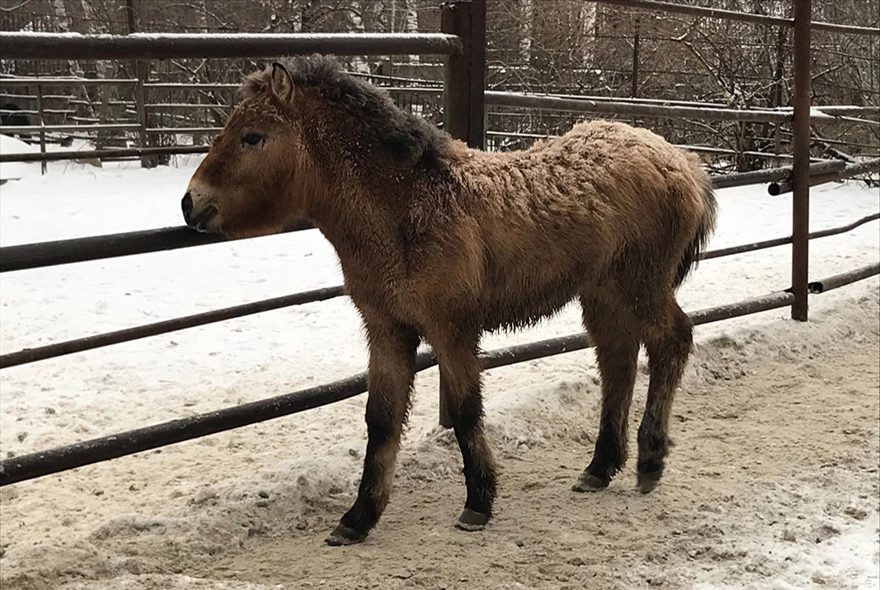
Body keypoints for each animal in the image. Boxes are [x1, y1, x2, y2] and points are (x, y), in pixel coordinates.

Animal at [182, 56, 720, 552]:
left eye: (253, 137)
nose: (191, 204)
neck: (408, 211)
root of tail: (683, 161)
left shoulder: (452, 329)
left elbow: (464, 411)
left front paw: (478, 502)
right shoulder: (388, 330)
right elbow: (381, 419)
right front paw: (358, 518)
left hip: (641, 286)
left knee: (672, 341)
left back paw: (650, 459)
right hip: (602, 294)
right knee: (618, 362)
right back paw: (600, 467)